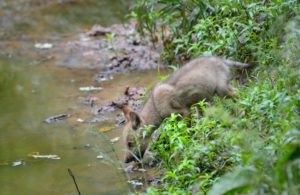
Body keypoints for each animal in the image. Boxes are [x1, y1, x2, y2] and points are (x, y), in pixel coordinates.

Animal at [118, 56, 250, 163]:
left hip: (222, 90)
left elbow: (185, 132)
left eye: (130, 144)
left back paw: (243, 113)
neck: (155, 106)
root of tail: (221, 60)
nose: (125, 161)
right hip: (203, 101)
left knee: (239, 94)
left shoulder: (184, 112)